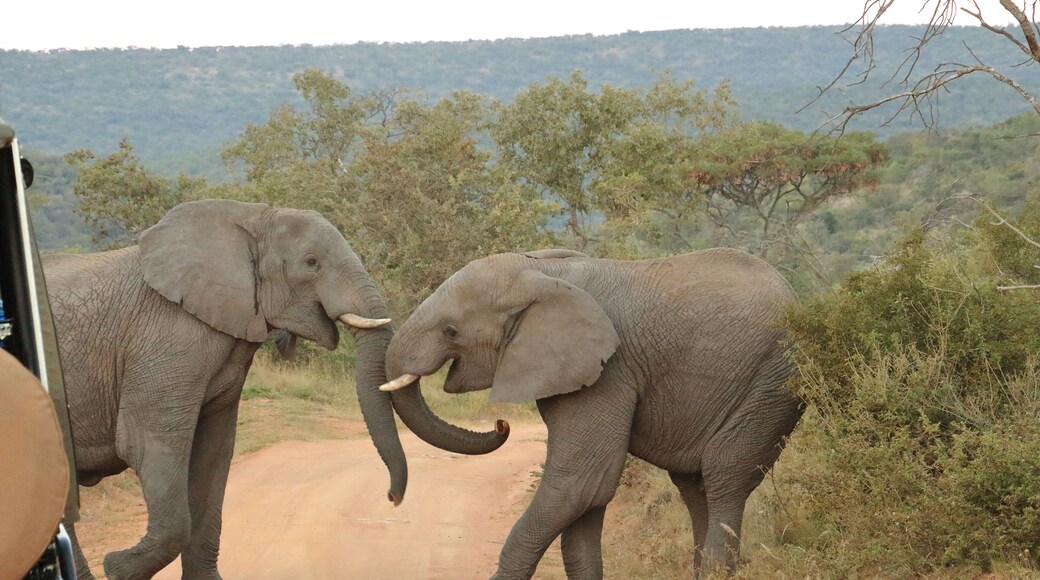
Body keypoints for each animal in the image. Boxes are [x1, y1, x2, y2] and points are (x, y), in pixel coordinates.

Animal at [45, 199, 509, 579]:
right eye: (311, 262)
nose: (392, 498)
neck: (249, 219)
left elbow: (214, 454)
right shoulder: (166, 336)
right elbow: (146, 444)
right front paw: (117, 568)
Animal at [380, 248, 804, 578]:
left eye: (451, 331)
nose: (501, 425)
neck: (543, 274)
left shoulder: (610, 369)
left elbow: (581, 482)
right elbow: (589, 494)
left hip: (772, 382)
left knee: (724, 475)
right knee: (694, 485)